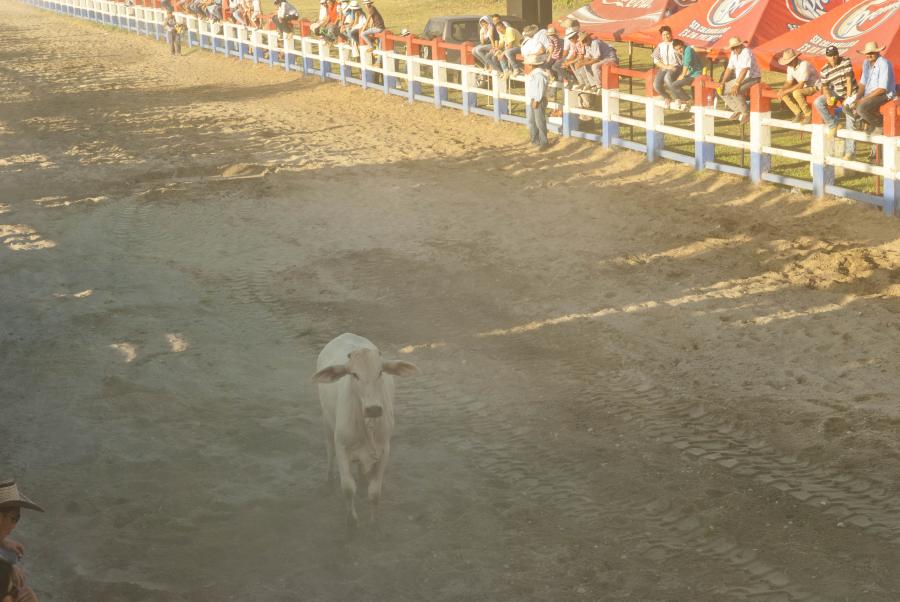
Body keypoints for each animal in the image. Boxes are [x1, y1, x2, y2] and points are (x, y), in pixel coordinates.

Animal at [312, 330, 420, 524]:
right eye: (354, 374)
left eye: (380, 372)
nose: (374, 409)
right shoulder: (341, 447)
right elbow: (348, 488)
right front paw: (352, 521)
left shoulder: (384, 450)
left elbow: (375, 493)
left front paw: (374, 522)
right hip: (326, 422)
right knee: (329, 452)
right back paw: (329, 479)